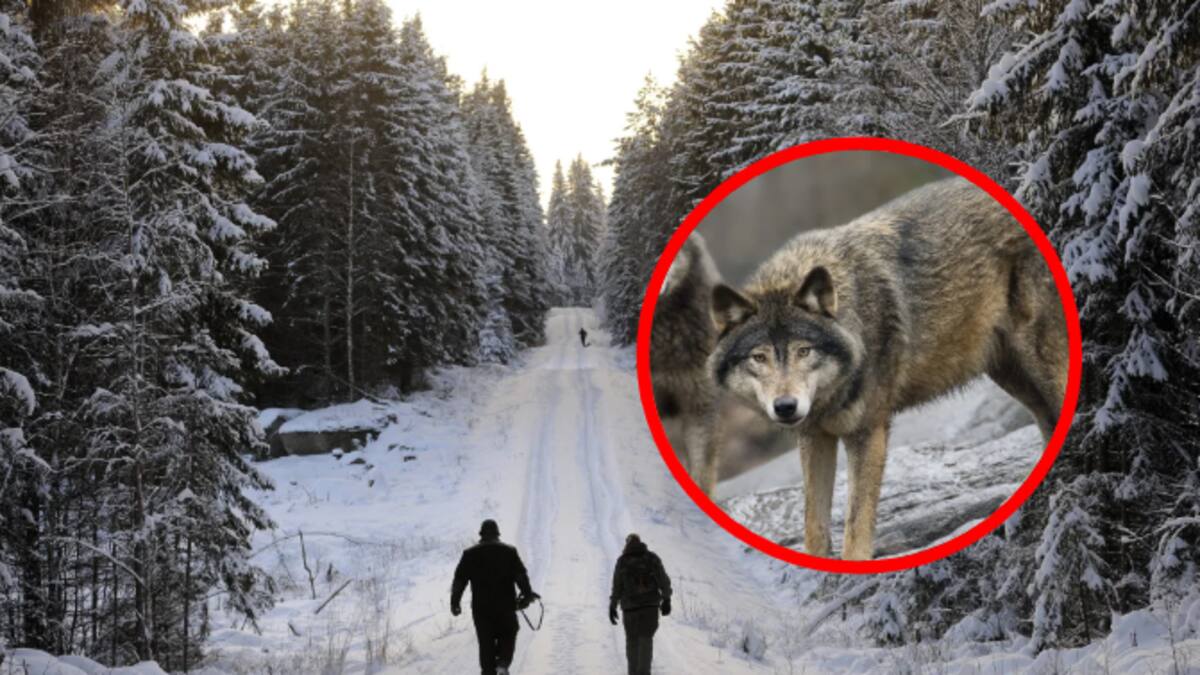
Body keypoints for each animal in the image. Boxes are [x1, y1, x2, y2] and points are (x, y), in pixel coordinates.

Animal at [708, 178, 1068, 560]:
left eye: (803, 351)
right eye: (759, 358)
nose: (786, 407)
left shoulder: (868, 433)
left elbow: (855, 528)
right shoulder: (815, 437)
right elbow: (814, 526)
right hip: (1013, 376)